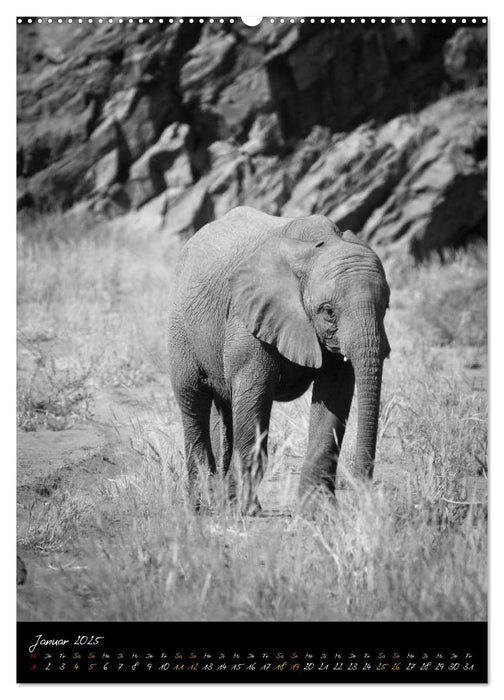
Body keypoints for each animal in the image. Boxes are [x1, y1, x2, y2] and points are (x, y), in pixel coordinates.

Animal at [167, 205, 392, 512]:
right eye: (328, 311)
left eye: (386, 307)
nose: (362, 496)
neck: (313, 248)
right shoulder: (248, 314)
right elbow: (255, 394)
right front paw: (245, 510)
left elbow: (334, 400)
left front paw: (318, 510)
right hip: (181, 325)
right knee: (193, 400)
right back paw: (204, 505)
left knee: (223, 405)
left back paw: (219, 499)